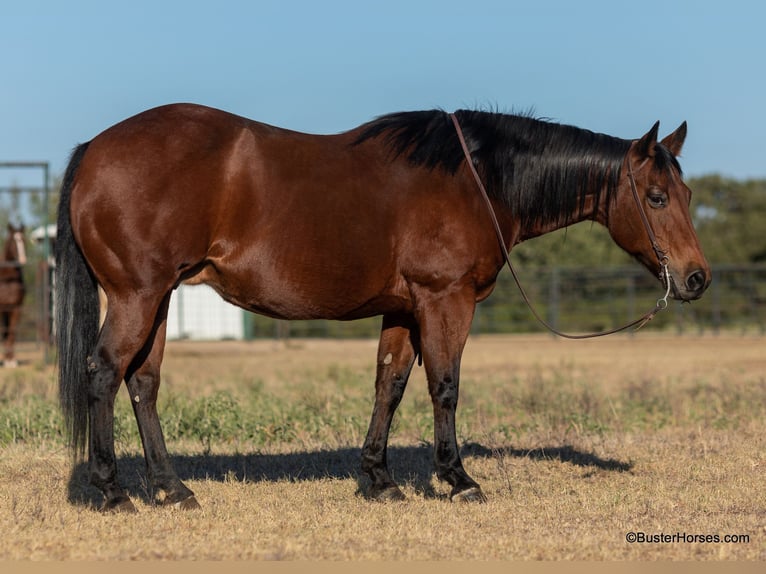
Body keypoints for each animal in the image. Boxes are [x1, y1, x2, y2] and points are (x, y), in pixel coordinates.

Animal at [55, 103, 712, 512]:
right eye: (656, 197)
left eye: (686, 193)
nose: (696, 278)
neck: (476, 179)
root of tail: (95, 149)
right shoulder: (445, 299)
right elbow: (444, 386)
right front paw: (457, 478)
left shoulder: (403, 308)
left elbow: (389, 385)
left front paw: (378, 479)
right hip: (139, 296)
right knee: (104, 374)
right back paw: (113, 491)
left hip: (159, 298)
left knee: (142, 384)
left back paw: (173, 489)